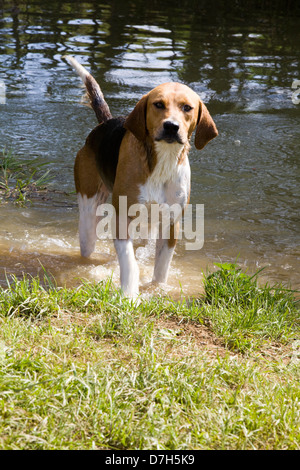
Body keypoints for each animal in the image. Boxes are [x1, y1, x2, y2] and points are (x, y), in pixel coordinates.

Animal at [63, 56, 218, 298]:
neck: (162, 162)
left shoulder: (171, 224)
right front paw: (129, 294)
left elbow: (161, 268)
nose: (171, 126)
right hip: (88, 214)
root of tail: (105, 123)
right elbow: (129, 263)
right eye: (158, 104)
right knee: (89, 242)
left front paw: (157, 290)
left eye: (187, 108)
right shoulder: (122, 220)